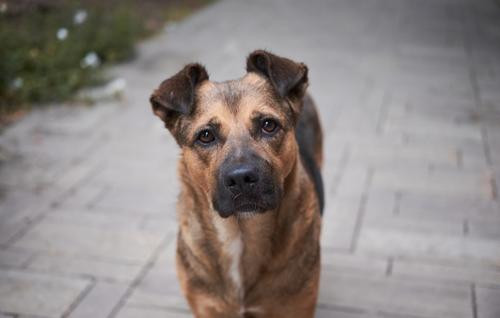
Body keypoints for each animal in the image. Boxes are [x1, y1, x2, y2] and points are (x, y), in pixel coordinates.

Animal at [148, 50, 324, 318]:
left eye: (268, 125)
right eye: (206, 135)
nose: (241, 178)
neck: (241, 234)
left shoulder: (296, 308)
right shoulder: (207, 309)